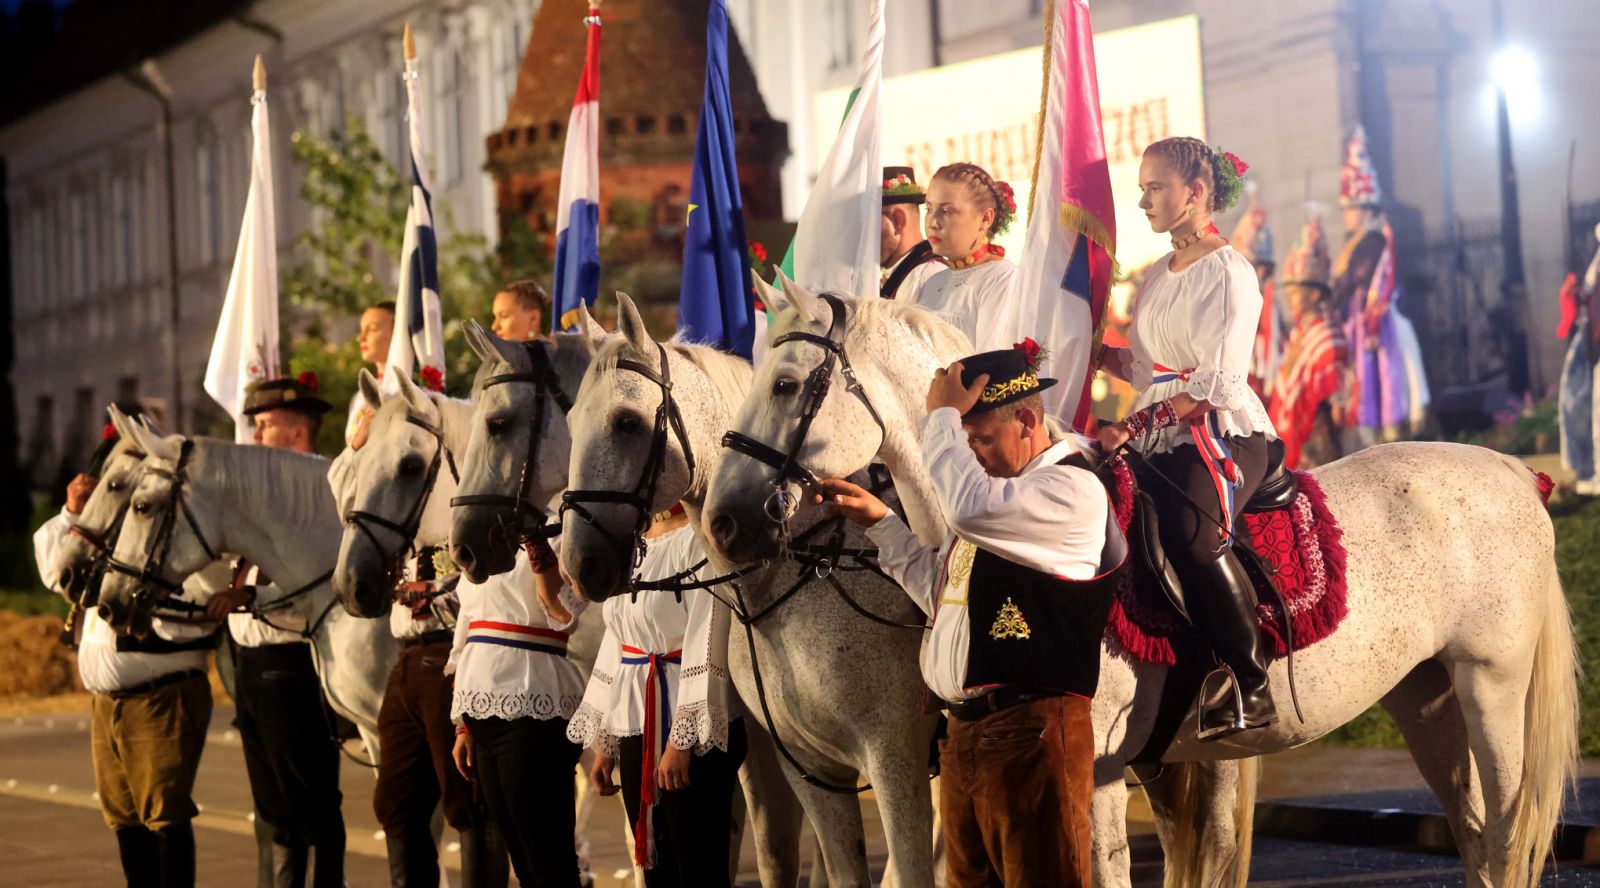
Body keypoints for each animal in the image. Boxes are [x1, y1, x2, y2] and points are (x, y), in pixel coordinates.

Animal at [558, 294, 938, 887]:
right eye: (571, 421)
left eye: (625, 422)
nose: (580, 564)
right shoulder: (797, 764)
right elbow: (791, 856)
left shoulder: (895, 757)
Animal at [702, 278, 1580, 888]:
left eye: (786, 384)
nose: (724, 521)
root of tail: (1512, 469)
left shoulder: (1083, 768)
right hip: (1425, 696)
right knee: (1477, 838)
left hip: (1491, 686)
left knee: (1505, 835)